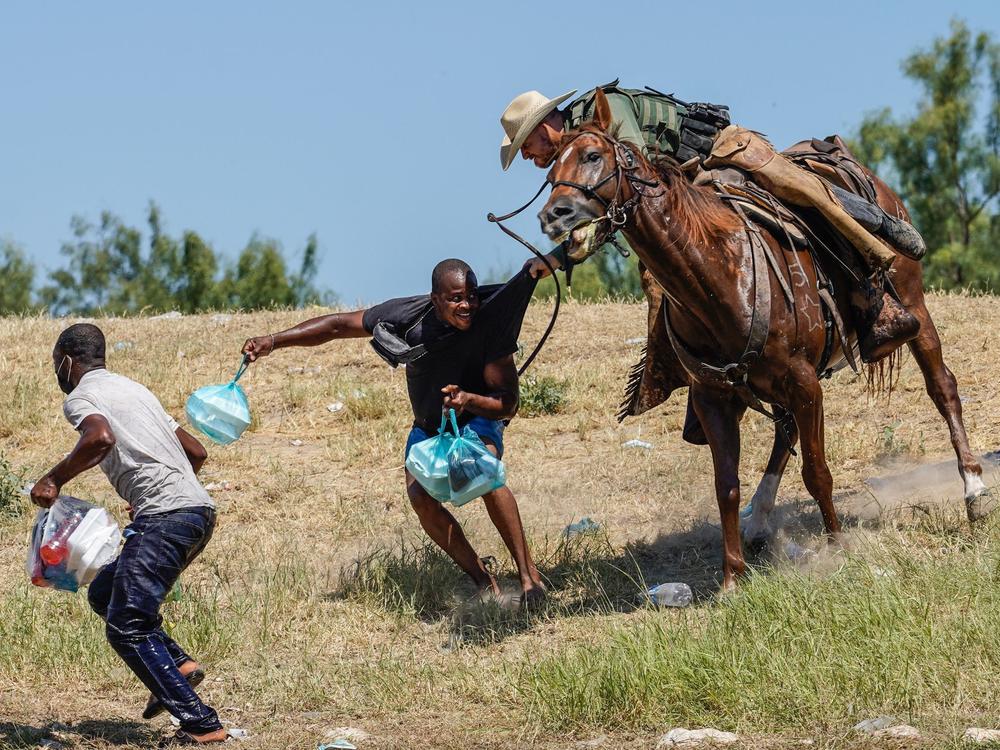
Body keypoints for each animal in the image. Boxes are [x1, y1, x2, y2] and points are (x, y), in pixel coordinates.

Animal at [540, 89, 984, 592]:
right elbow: (726, 486)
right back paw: (759, 522)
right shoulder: (714, 397)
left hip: (913, 306)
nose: (553, 215)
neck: (720, 274)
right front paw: (732, 578)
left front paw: (837, 548)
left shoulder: (804, 383)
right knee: (784, 430)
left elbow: (817, 472)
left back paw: (974, 489)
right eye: (550, 172)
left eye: (593, 156)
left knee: (942, 387)